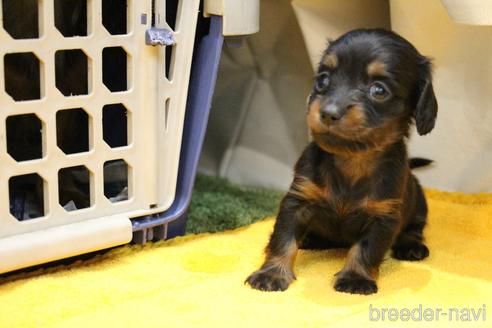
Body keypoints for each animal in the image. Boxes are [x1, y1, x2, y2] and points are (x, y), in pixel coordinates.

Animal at [246, 28, 438, 294]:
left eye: (379, 90)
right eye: (323, 80)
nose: (328, 113)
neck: (352, 160)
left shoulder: (383, 217)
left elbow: (366, 249)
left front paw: (355, 278)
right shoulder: (296, 201)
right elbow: (283, 240)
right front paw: (272, 273)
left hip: (418, 203)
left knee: (415, 228)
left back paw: (411, 246)